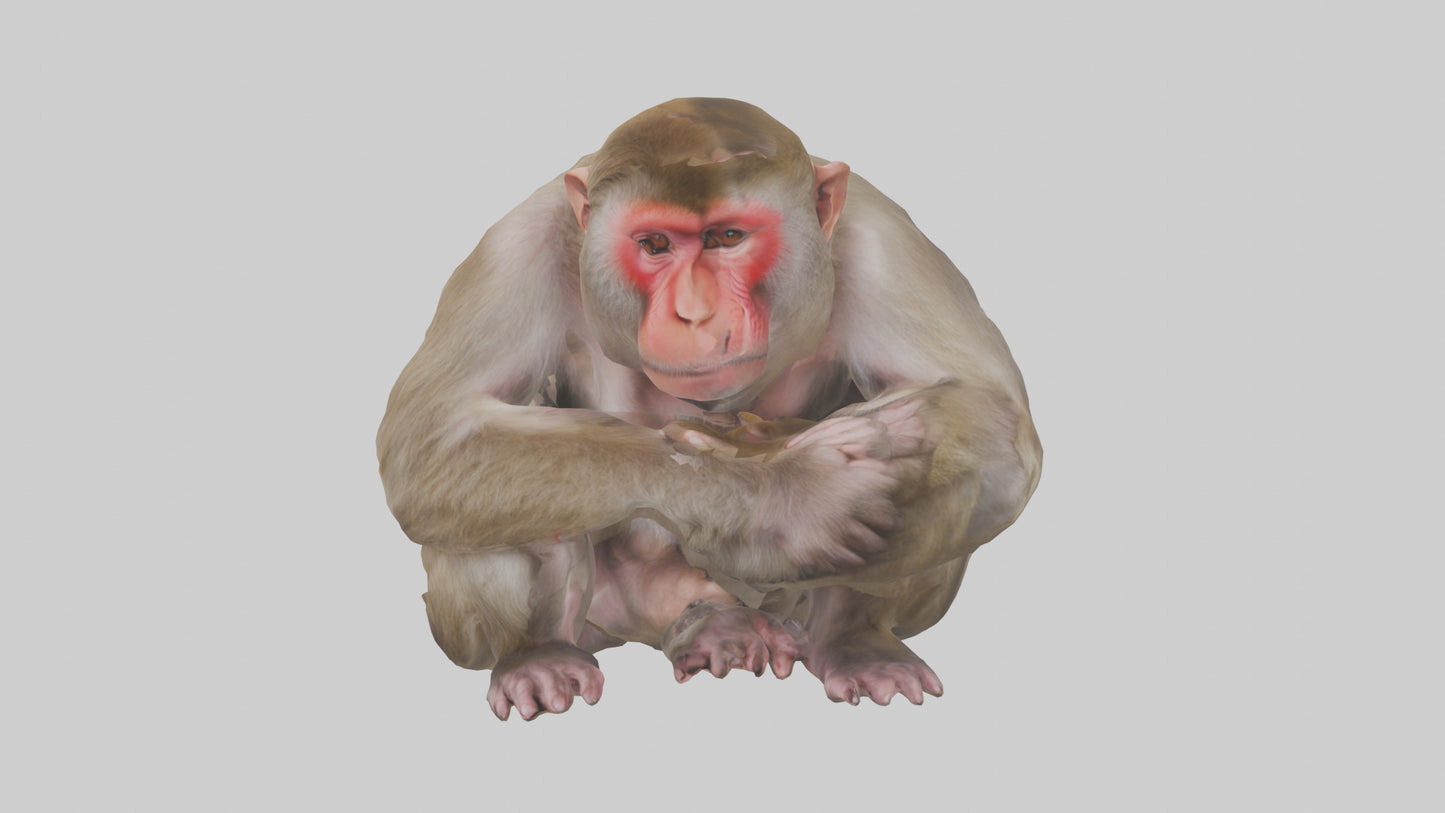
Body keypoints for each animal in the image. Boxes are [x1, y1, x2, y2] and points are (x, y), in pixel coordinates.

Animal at [377, 98, 1041, 720]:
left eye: (728, 237)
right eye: (654, 244)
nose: (693, 313)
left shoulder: (880, 237)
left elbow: (986, 413)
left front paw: (777, 453)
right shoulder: (519, 243)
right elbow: (437, 438)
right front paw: (782, 501)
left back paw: (850, 643)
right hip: (608, 612)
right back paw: (541, 655)